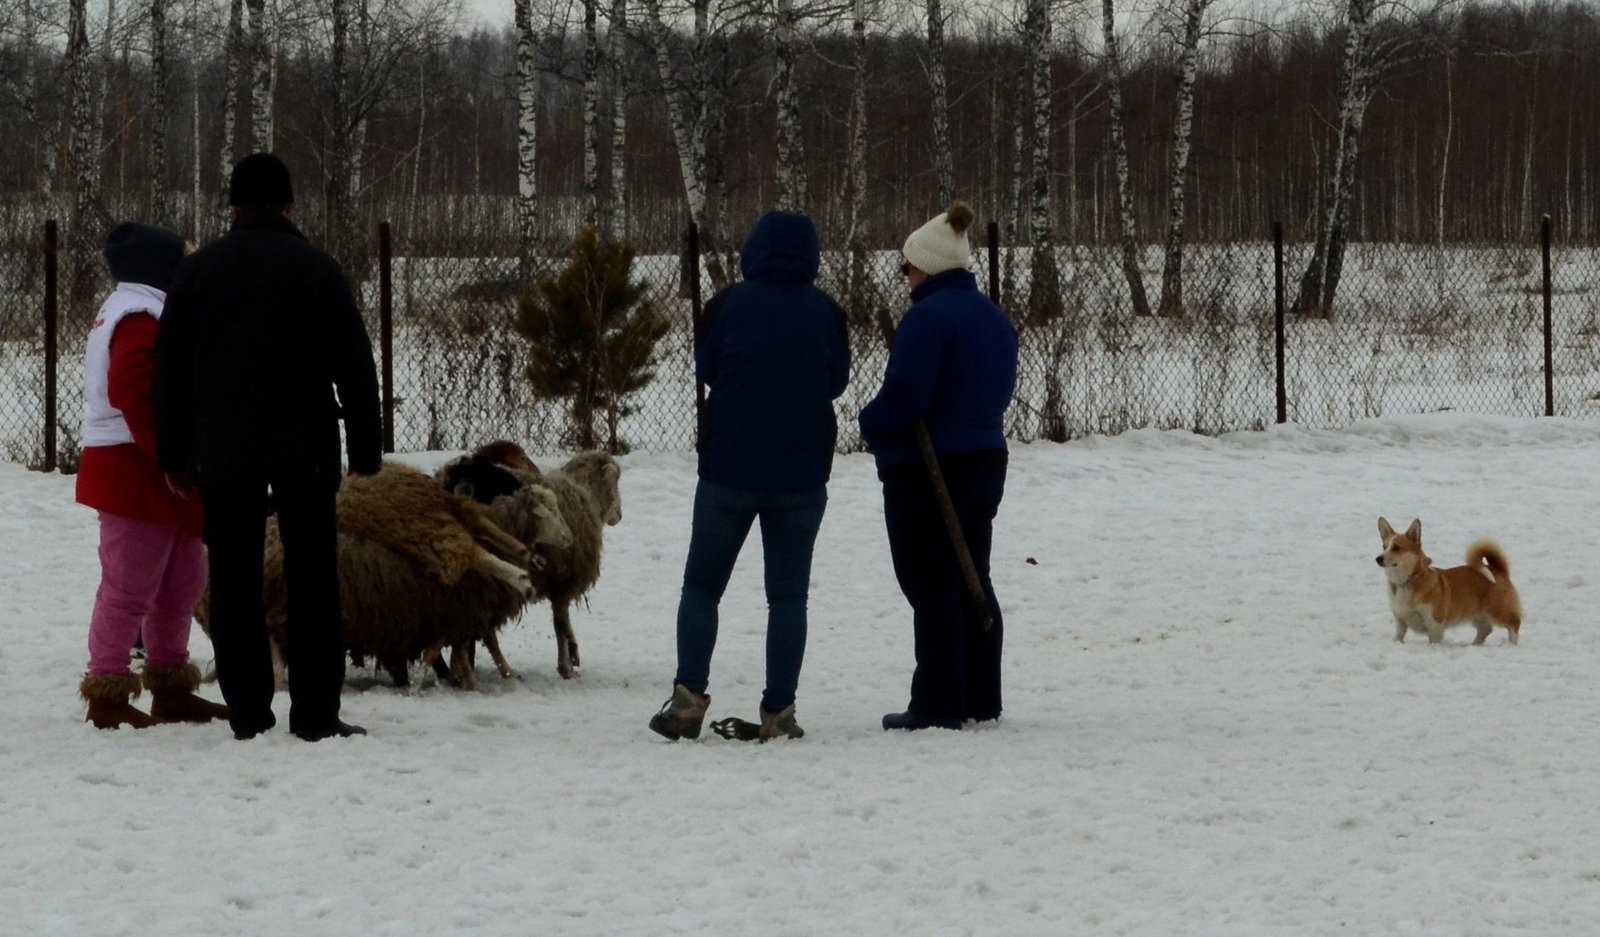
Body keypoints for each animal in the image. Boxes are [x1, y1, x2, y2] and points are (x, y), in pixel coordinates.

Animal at [1376, 518, 1523, 642]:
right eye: (1384, 547)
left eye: (1396, 547)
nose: (1378, 559)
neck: (1406, 582)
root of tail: (1498, 569)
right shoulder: (1400, 621)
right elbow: (1398, 637)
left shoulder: (1434, 624)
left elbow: (1433, 641)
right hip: (1476, 614)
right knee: (1485, 630)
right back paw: (1474, 645)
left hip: (1498, 611)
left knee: (1514, 625)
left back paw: (1512, 645)